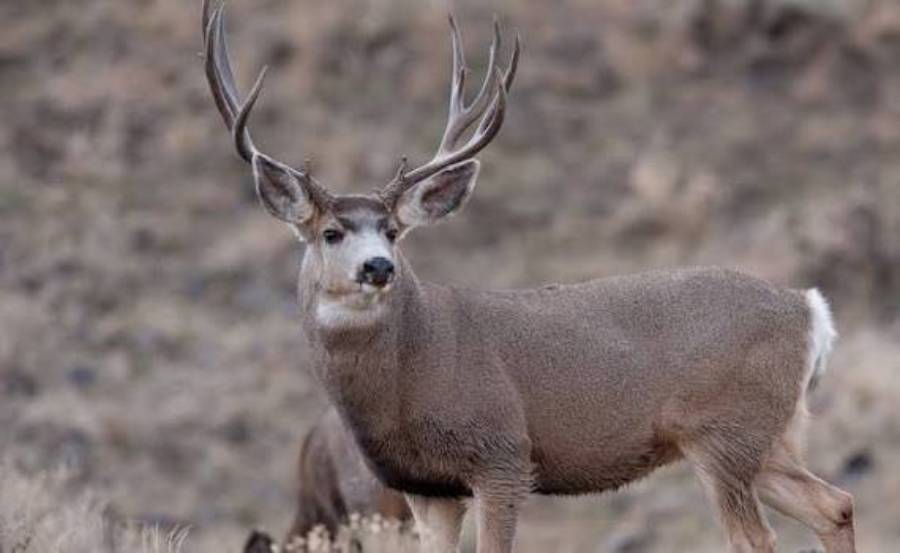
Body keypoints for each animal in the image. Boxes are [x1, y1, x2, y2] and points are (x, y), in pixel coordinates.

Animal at [201, 2, 856, 552]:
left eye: (391, 230)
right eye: (332, 233)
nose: (379, 267)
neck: (411, 373)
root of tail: (808, 308)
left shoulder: (503, 455)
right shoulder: (426, 487)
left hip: (724, 432)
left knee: (758, 538)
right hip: (769, 435)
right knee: (836, 503)